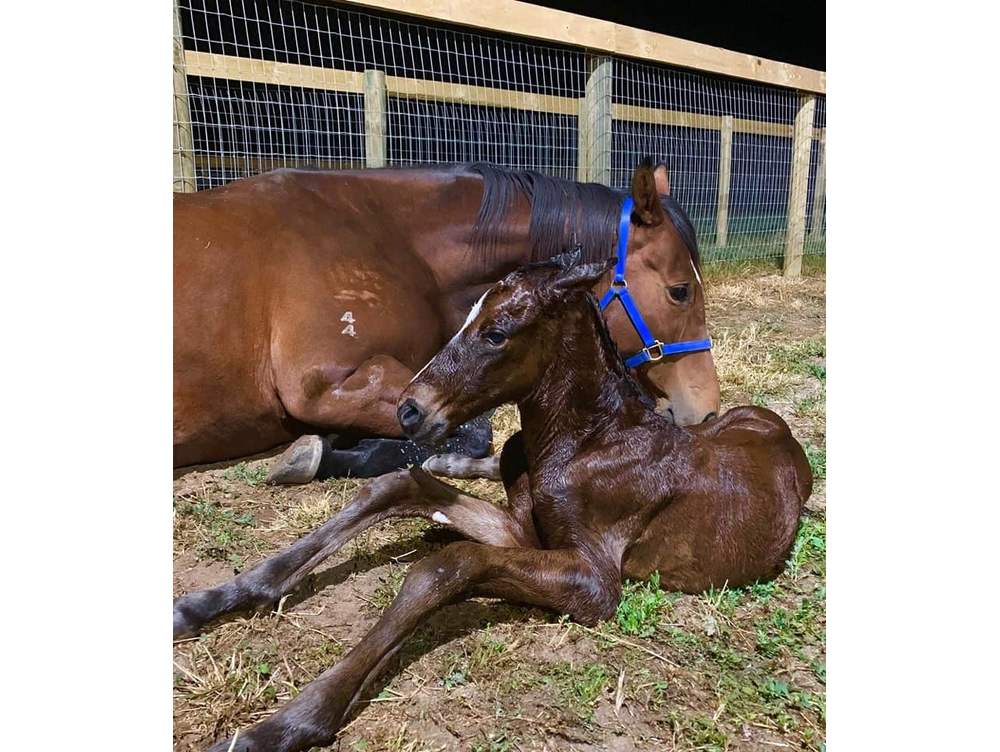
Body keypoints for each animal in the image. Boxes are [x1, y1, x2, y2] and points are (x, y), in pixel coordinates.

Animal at [193, 256, 812, 748]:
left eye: (495, 333)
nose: (410, 411)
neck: (588, 441)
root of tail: (779, 429)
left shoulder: (594, 582)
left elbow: (447, 567)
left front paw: (284, 723)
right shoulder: (522, 532)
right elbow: (398, 486)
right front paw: (217, 598)